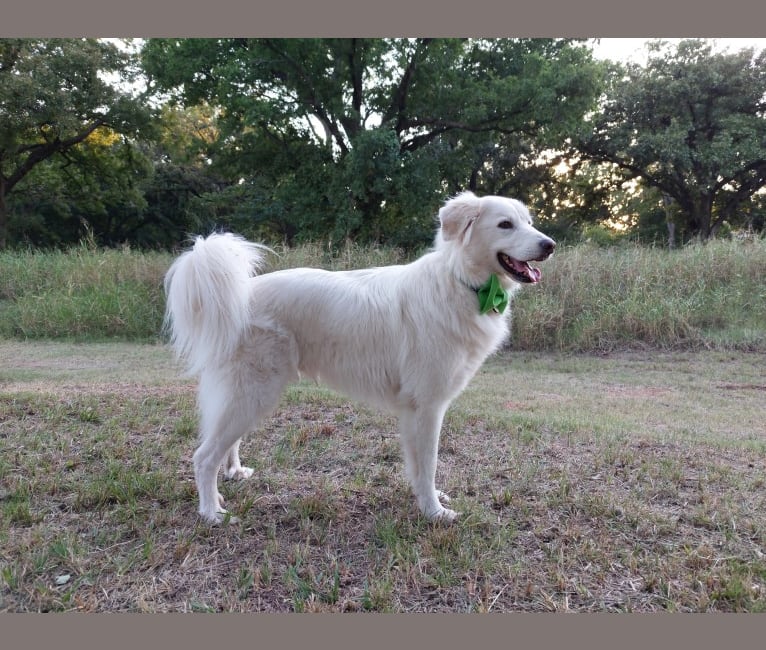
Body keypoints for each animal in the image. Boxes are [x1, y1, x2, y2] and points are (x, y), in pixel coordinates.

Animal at [165, 191, 556, 520]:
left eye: (528, 221)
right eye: (505, 224)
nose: (550, 245)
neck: (460, 282)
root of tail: (241, 294)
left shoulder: (415, 410)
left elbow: (417, 467)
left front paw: (424, 501)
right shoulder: (428, 406)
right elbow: (428, 464)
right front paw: (434, 513)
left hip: (249, 396)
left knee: (225, 445)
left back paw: (233, 475)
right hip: (253, 393)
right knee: (203, 457)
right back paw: (211, 513)